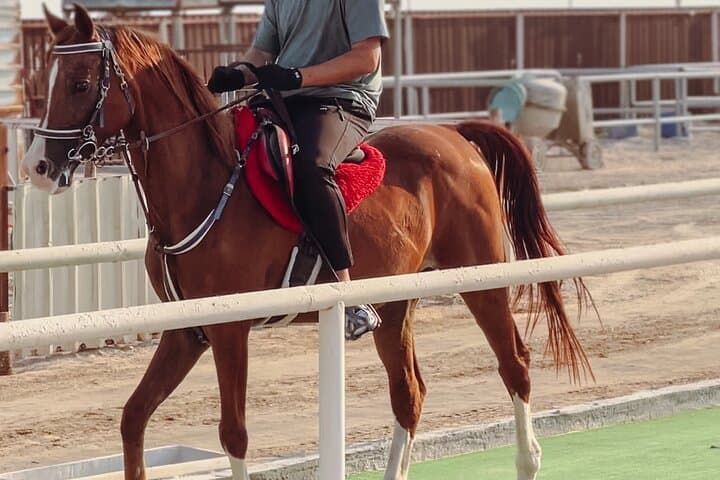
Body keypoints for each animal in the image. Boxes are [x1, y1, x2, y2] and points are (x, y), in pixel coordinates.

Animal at [24, 5, 591, 480]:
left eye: (79, 83)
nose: (37, 168)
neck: (206, 184)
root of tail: (453, 135)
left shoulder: (230, 330)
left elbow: (234, 435)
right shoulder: (186, 331)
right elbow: (133, 418)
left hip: (482, 281)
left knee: (514, 364)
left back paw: (528, 461)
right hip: (396, 298)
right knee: (408, 393)